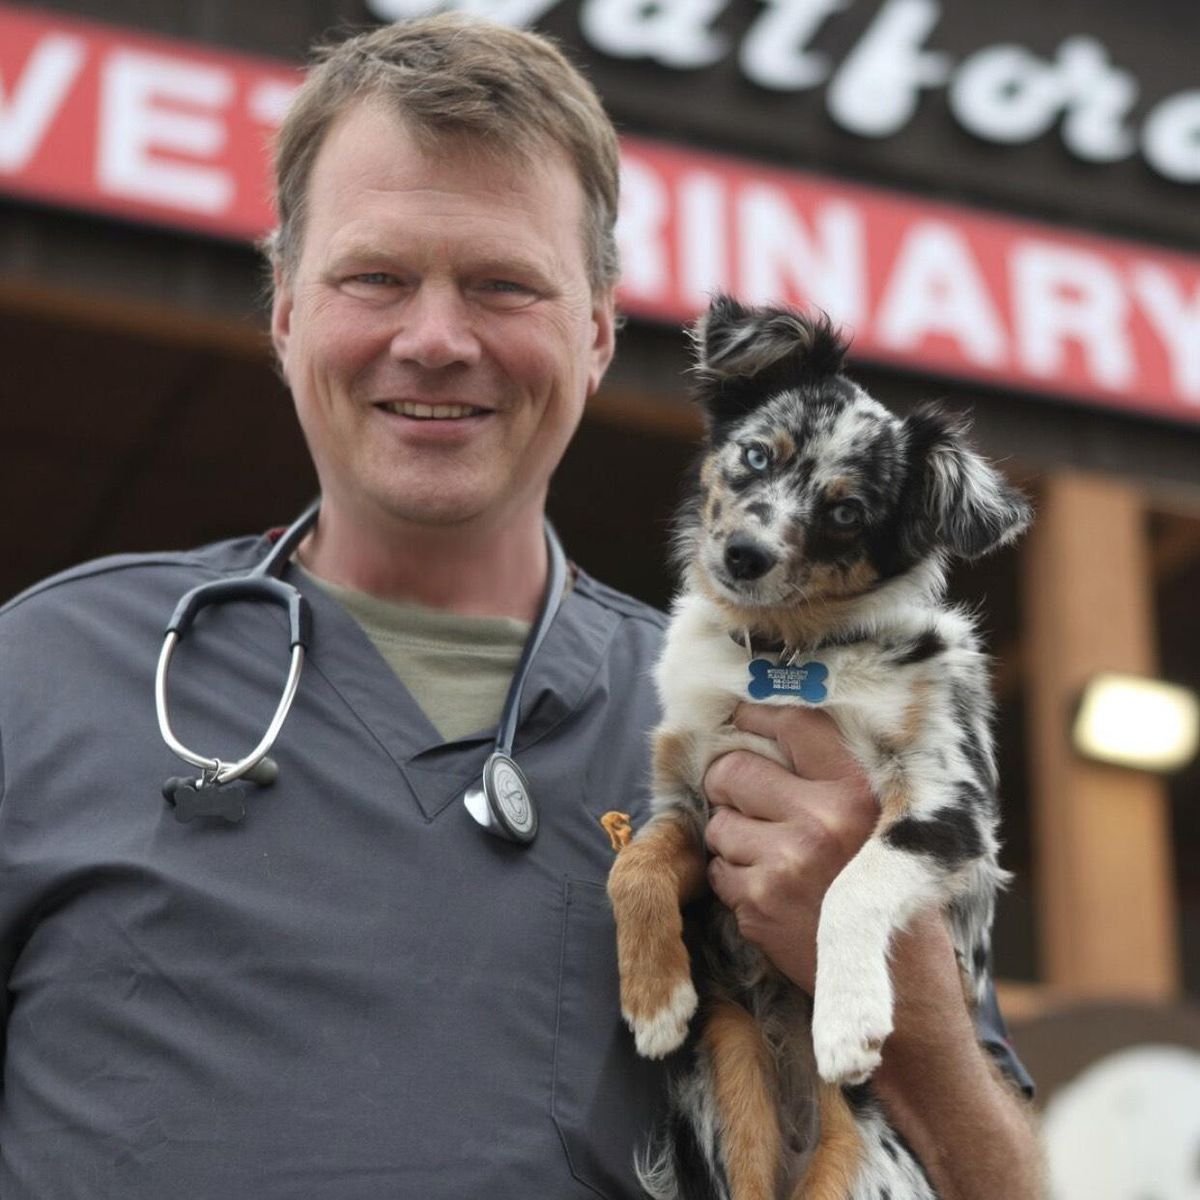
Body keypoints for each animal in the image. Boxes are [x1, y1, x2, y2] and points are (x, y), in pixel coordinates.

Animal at [609, 292, 1032, 1200]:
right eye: (755, 456)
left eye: (844, 513)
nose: (745, 555)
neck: (788, 651)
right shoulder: (694, 797)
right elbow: (637, 864)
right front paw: (654, 998)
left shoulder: (950, 807)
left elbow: (853, 879)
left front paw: (848, 1016)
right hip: (734, 1085)